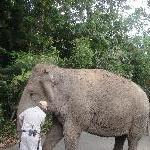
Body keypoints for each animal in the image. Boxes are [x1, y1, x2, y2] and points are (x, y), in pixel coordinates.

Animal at [17, 63, 149, 150]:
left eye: (32, 93)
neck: (62, 72)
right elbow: (55, 132)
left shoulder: (77, 110)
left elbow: (70, 136)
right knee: (120, 138)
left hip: (139, 118)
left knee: (133, 139)